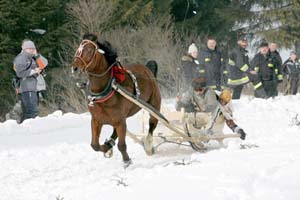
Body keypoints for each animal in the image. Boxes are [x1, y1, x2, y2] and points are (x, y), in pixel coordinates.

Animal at [71, 34, 161, 166]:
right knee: (114, 133)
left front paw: (127, 161)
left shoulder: (120, 121)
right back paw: (109, 144)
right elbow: (94, 145)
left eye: (89, 50)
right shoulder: (97, 120)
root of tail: (146, 68)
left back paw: (148, 145)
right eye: (78, 48)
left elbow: (122, 145)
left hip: (154, 104)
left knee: (152, 123)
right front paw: (106, 148)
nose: (75, 68)